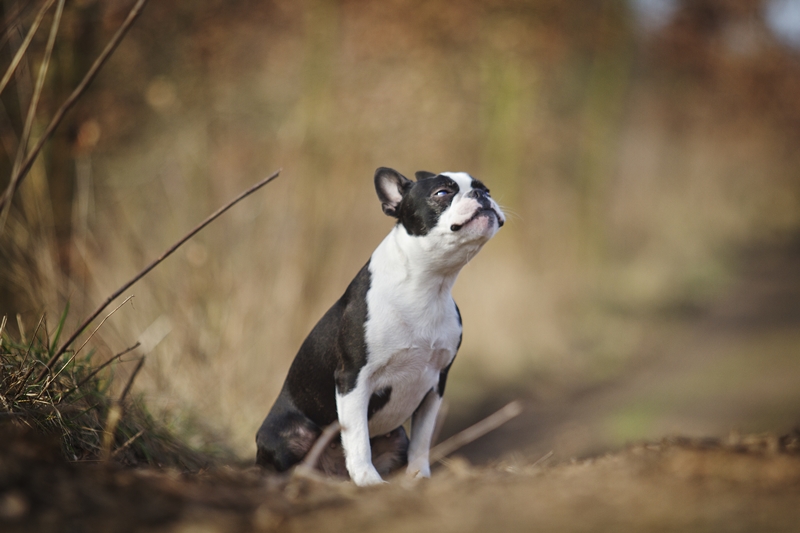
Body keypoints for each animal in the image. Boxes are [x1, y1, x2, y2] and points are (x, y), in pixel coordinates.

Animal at [256, 168, 506, 484]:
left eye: (485, 188)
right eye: (442, 193)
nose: (481, 194)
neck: (428, 285)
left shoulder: (437, 382)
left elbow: (422, 438)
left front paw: (419, 477)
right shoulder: (353, 379)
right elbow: (358, 437)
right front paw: (368, 481)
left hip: (396, 436)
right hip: (290, 433)